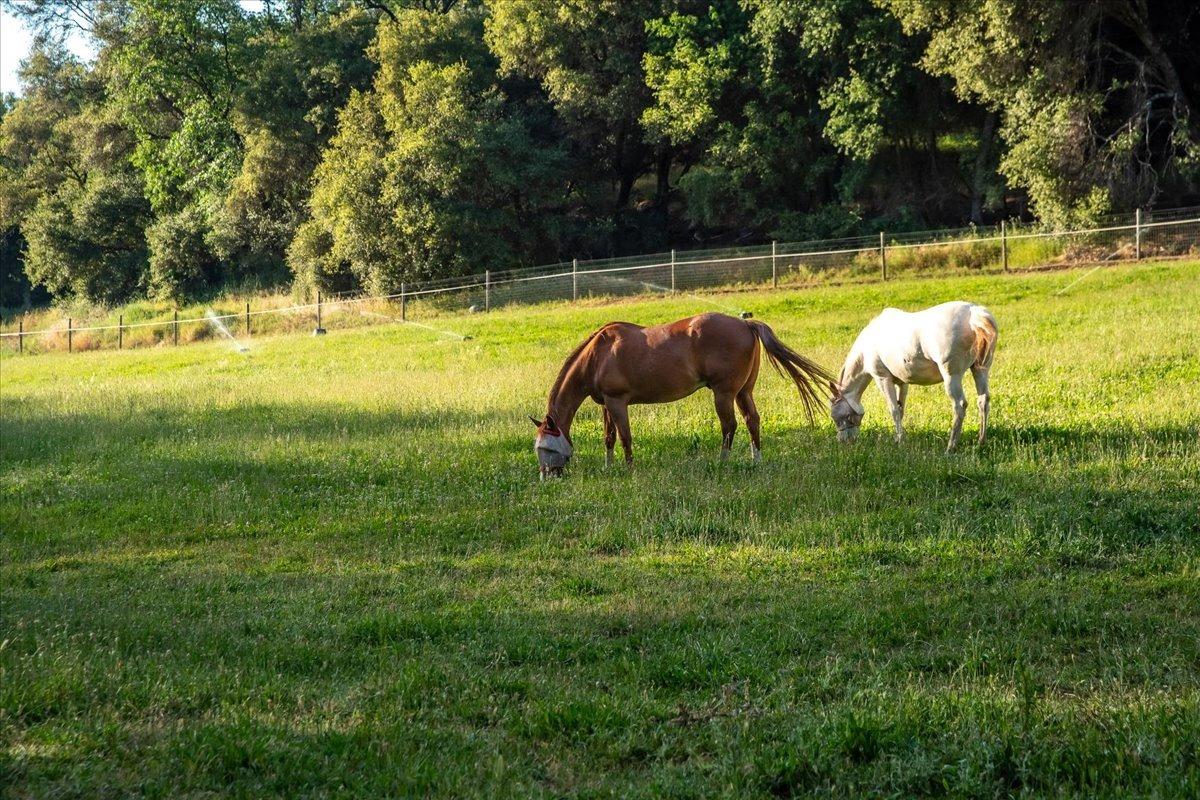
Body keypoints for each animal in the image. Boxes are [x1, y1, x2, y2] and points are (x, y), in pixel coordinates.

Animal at [535, 311, 835, 474]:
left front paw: (629, 470)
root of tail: (745, 324)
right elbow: (608, 438)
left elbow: (625, 438)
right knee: (752, 421)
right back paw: (755, 460)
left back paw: (723, 462)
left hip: (724, 393)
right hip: (743, 392)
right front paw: (609, 467)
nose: (547, 476)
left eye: (546, 447)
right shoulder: (606, 404)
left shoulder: (618, 402)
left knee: (729, 426)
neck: (599, 354)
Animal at [830, 299, 998, 450]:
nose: (843, 441)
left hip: (951, 376)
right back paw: (981, 442)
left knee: (960, 405)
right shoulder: (902, 382)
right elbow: (900, 409)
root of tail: (973, 313)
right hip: (980, 369)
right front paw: (899, 437)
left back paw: (951, 447)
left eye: (835, 416)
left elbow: (893, 409)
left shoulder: (882, 378)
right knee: (983, 400)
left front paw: (899, 441)